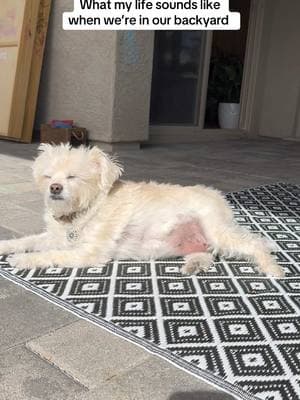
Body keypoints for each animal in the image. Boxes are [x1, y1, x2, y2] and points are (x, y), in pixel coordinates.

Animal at [0, 145, 284, 278]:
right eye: (48, 176)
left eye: (73, 177)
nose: (55, 188)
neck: (81, 212)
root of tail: (218, 196)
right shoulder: (54, 237)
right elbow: (28, 240)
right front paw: (6, 246)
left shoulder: (88, 253)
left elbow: (51, 254)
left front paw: (23, 260)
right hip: (200, 239)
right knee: (207, 253)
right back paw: (194, 264)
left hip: (217, 231)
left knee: (255, 244)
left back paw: (273, 269)